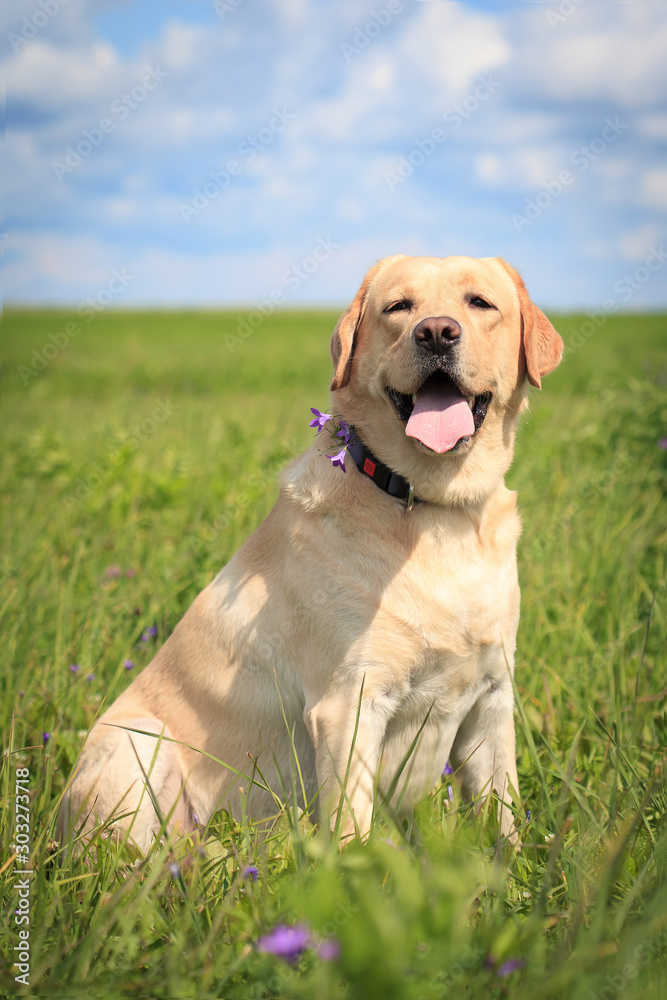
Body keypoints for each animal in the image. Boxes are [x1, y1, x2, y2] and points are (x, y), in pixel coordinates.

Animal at [60, 252, 564, 852]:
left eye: (480, 303)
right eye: (399, 307)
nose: (438, 332)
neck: (437, 508)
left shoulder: (492, 697)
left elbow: (503, 813)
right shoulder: (350, 704)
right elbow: (354, 833)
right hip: (137, 745)